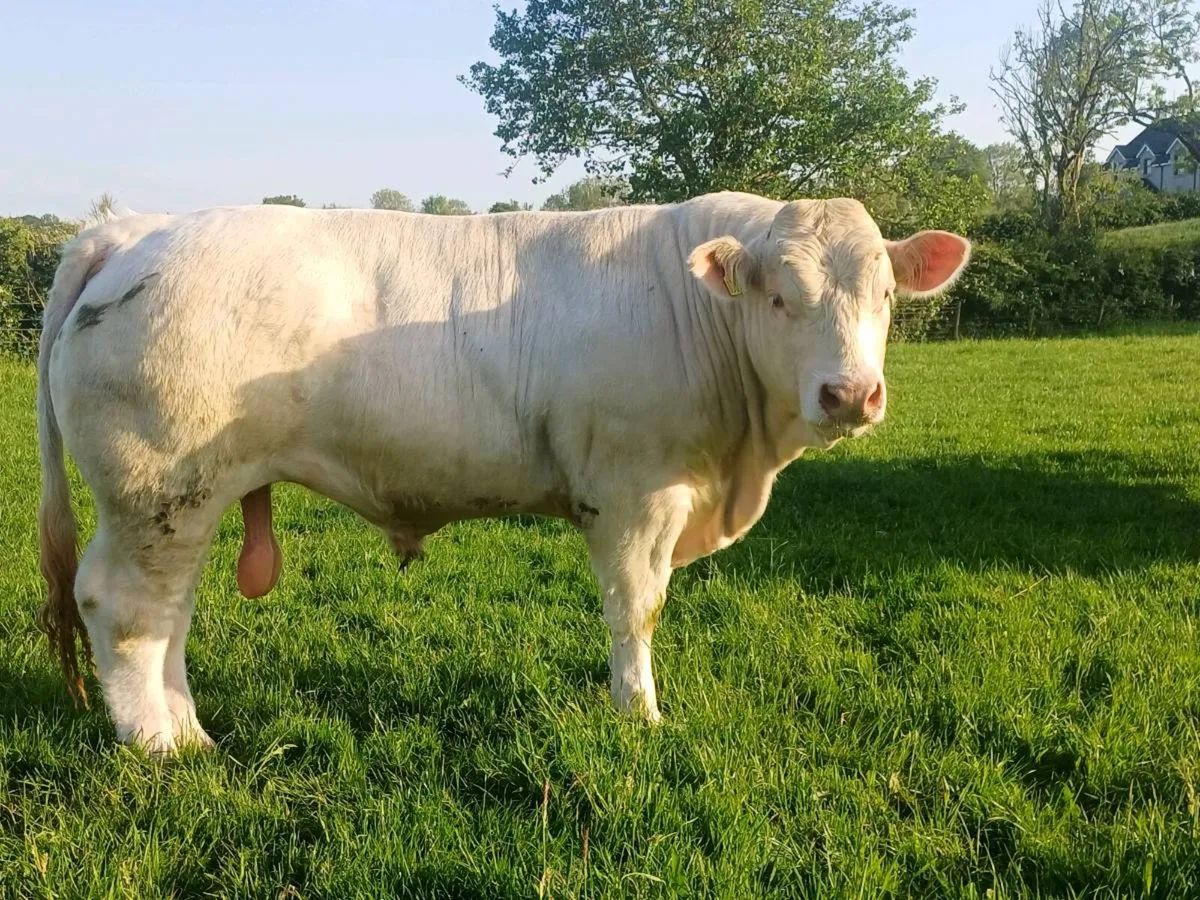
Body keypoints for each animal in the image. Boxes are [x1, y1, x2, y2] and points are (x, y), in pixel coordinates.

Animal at [37, 192, 970, 753]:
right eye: (780, 298)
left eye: (887, 296)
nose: (850, 393)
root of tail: (134, 228)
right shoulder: (632, 494)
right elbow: (635, 611)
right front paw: (640, 716)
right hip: (156, 491)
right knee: (123, 607)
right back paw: (161, 746)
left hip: (186, 500)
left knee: (169, 614)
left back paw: (186, 728)